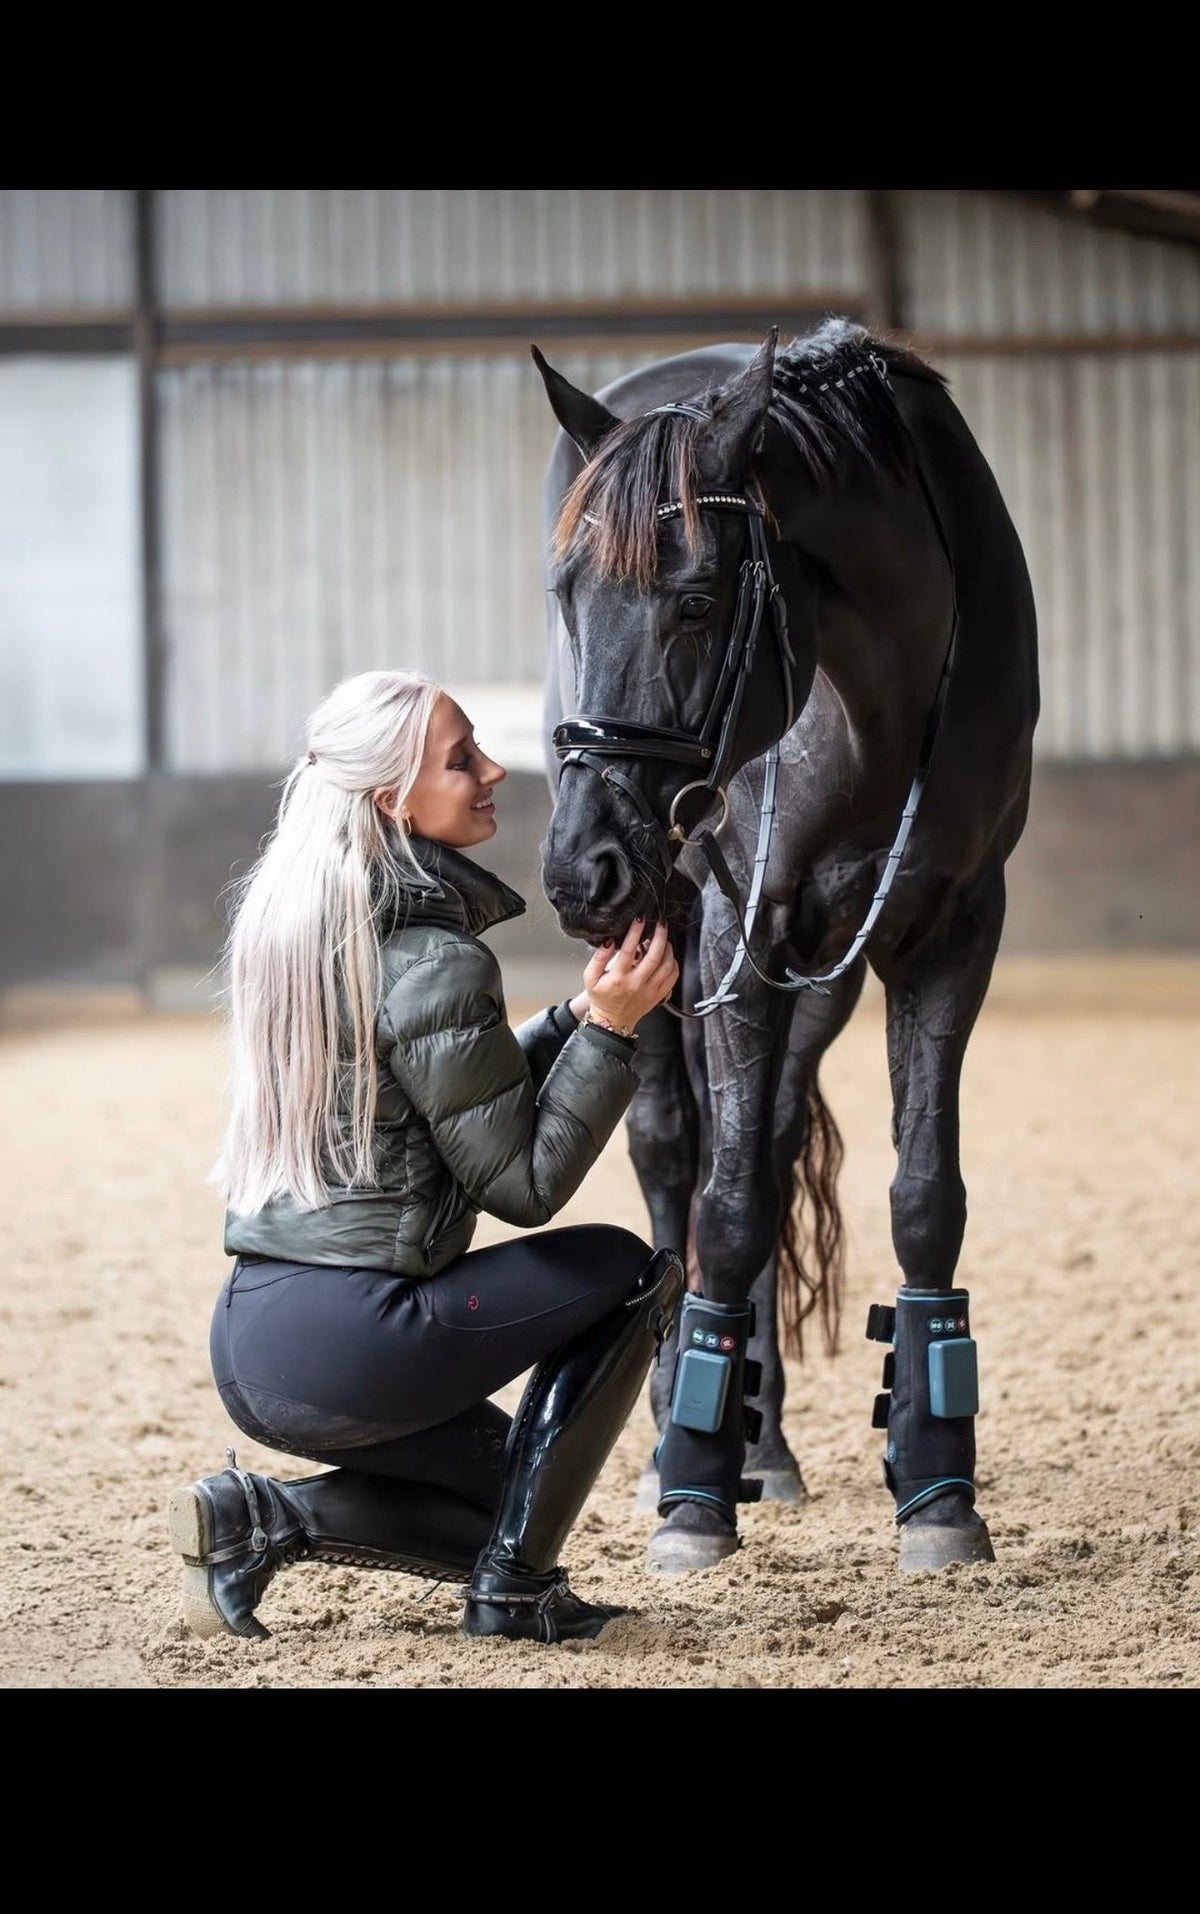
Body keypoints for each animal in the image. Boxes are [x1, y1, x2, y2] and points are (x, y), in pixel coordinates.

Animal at [532, 316, 1039, 1576]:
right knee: (678, 1155)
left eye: (698, 601)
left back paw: (760, 1445)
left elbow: (923, 1193)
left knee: (755, 1144)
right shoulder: (732, 931)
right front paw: (693, 1499)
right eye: (566, 593)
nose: (578, 871)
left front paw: (939, 1490)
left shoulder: (955, 930)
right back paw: (683, 1429)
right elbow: (721, 1205)